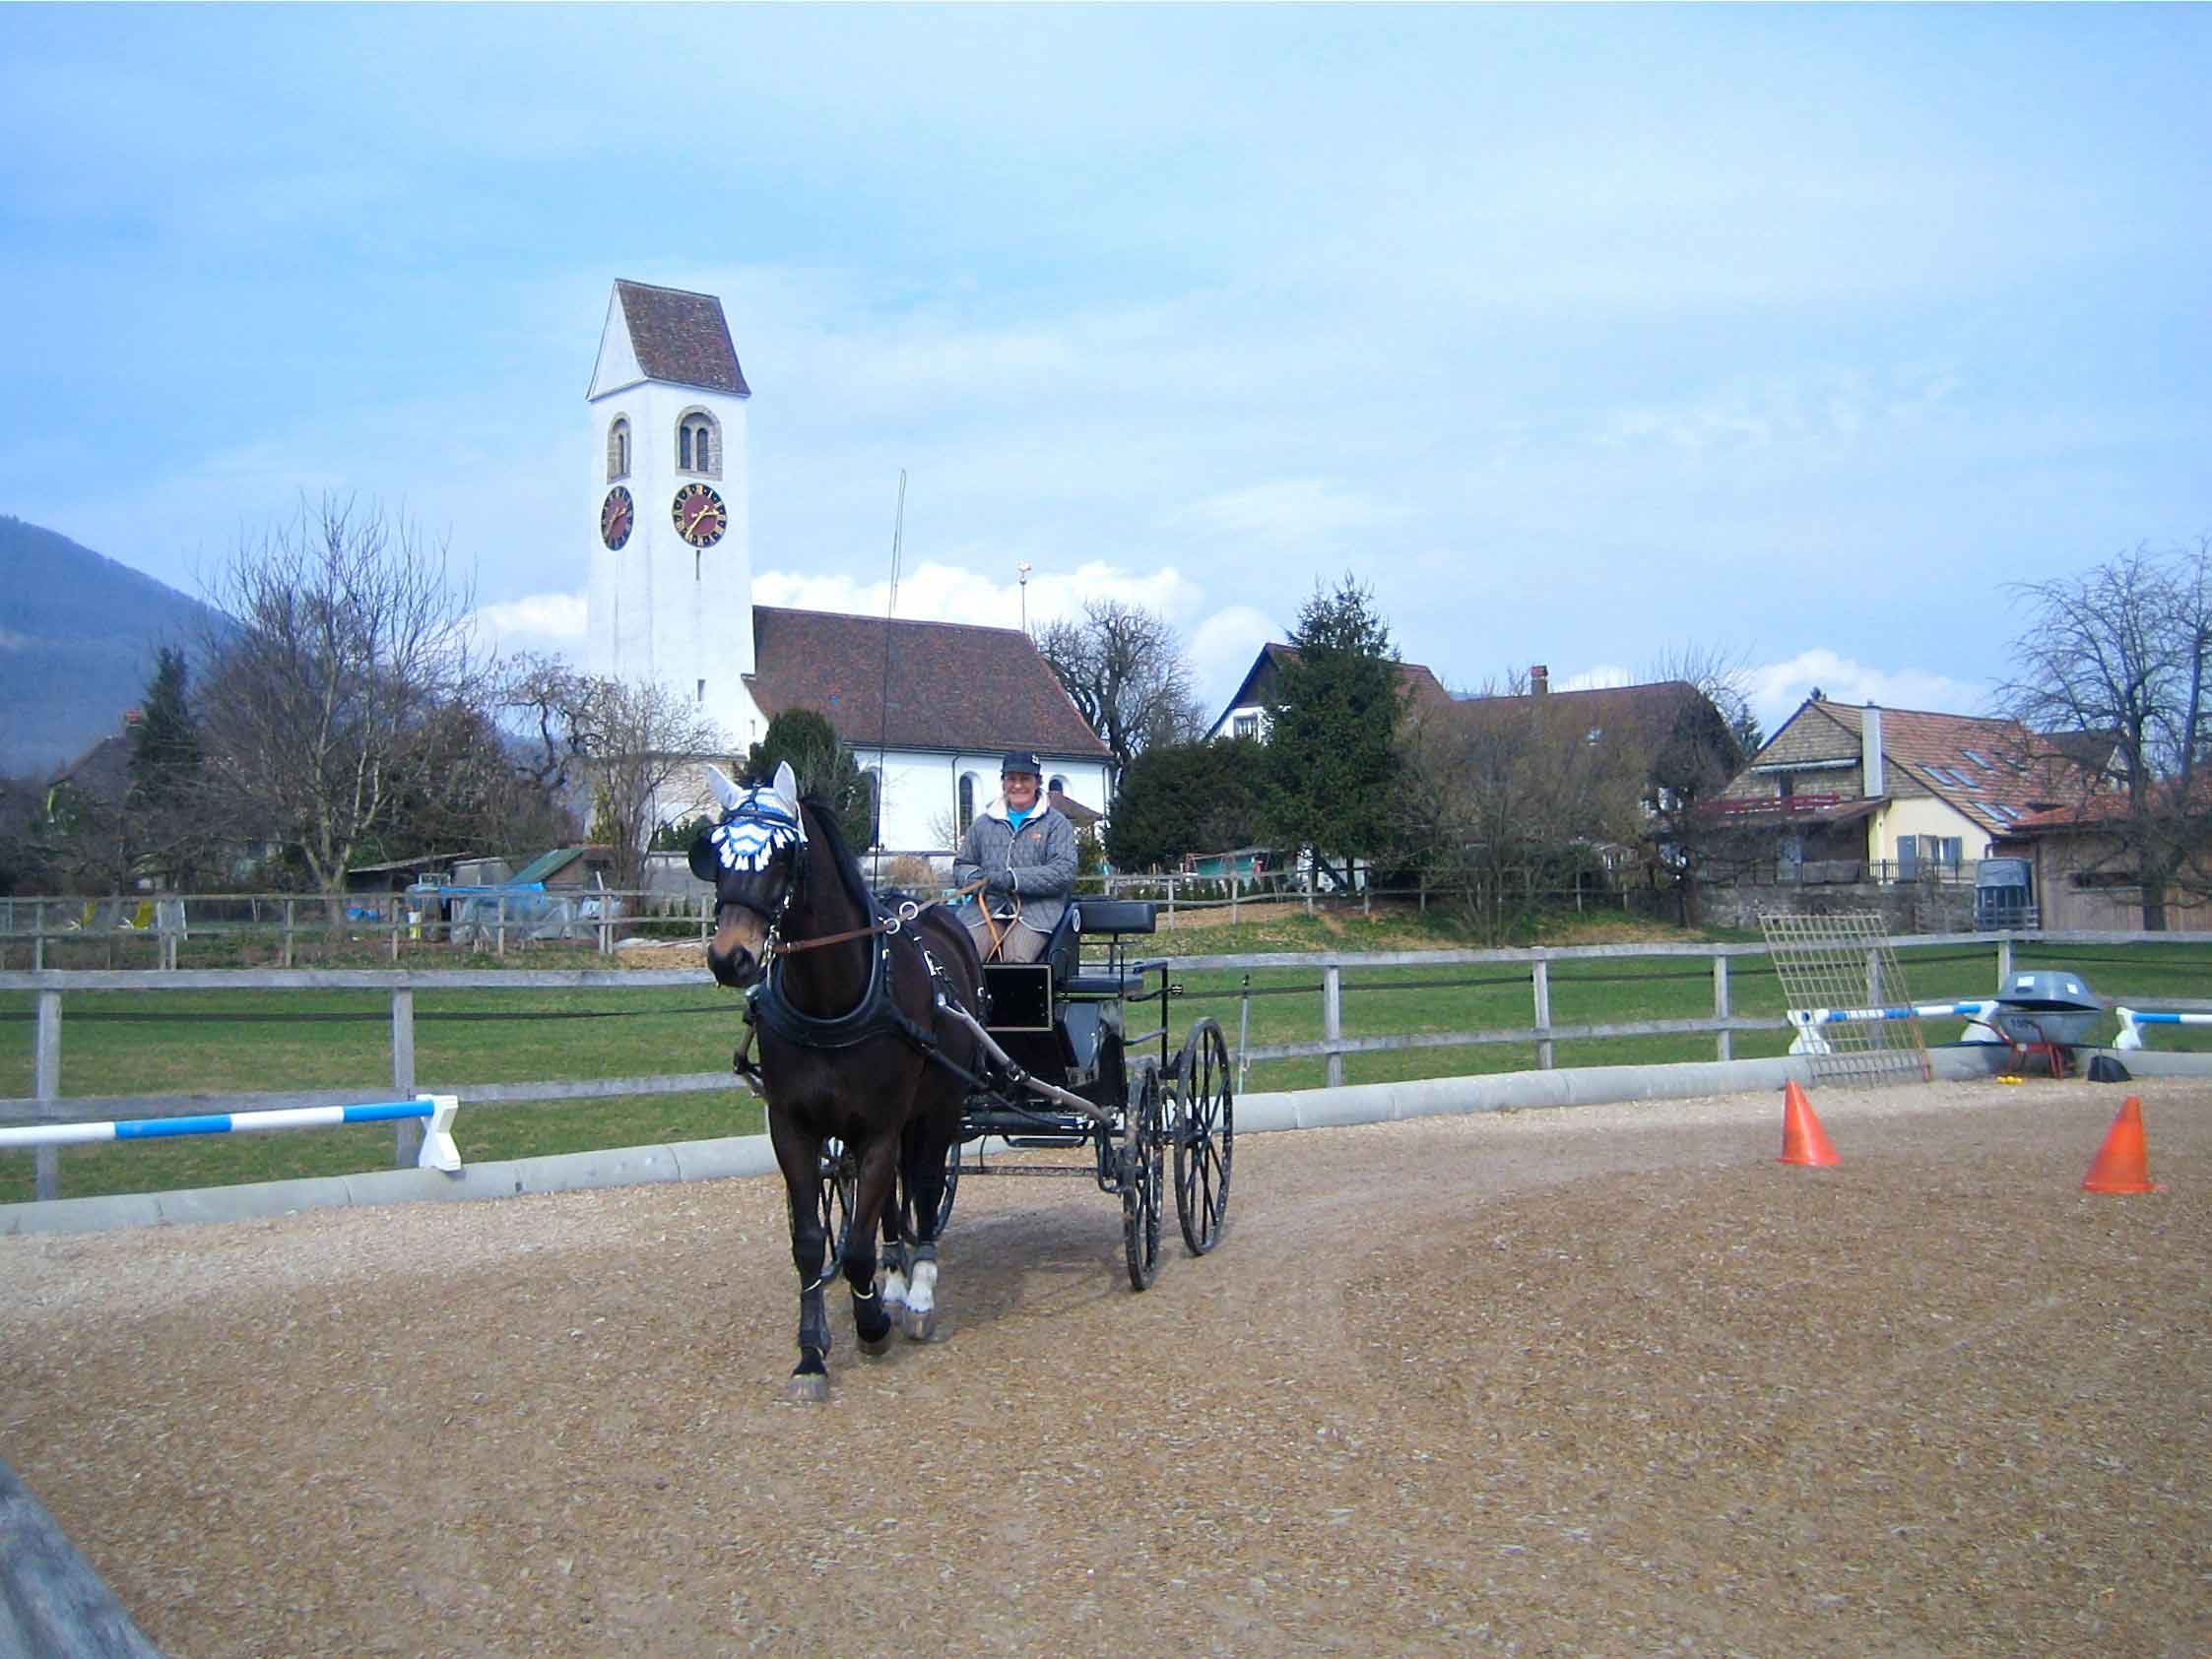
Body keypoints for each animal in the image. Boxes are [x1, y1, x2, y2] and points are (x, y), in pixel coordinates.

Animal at [681, 765, 977, 1406]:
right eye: (715, 852)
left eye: (784, 854)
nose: (730, 959)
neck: (830, 1001)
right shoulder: (794, 1129)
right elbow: (813, 1242)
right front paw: (812, 1354)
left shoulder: (881, 1128)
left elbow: (860, 1243)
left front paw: (872, 1325)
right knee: (889, 1202)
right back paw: (895, 1278)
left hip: (938, 1107)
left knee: (923, 1186)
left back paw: (918, 1289)